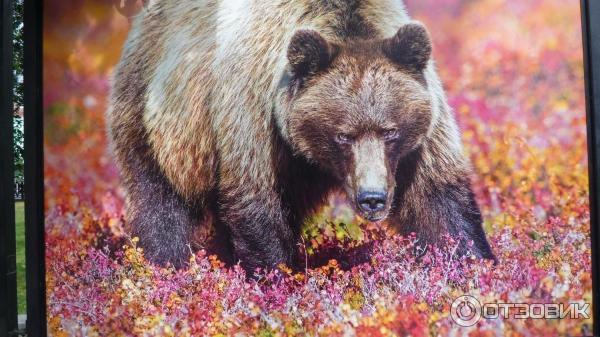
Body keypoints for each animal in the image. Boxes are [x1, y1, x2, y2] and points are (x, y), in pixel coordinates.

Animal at [109, 0, 496, 270]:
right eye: (343, 135)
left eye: (390, 131)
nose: (372, 198)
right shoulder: (254, 113)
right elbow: (257, 203)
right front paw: (277, 275)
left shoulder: (421, 137)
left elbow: (438, 201)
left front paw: (471, 265)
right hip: (156, 120)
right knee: (161, 203)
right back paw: (164, 267)